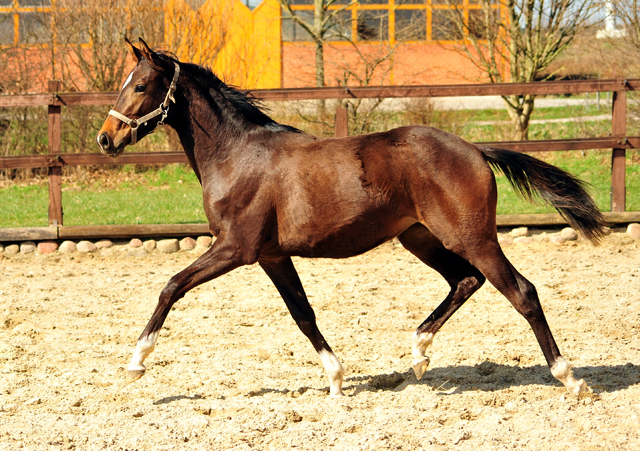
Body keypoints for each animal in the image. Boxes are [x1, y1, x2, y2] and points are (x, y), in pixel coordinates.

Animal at [99, 38, 604, 398]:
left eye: (140, 86)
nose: (106, 139)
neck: (238, 154)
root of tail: (475, 150)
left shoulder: (234, 248)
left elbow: (171, 286)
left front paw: (135, 363)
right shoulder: (271, 256)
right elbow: (303, 314)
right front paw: (337, 379)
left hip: (473, 238)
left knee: (522, 292)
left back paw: (570, 379)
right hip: (420, 238)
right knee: (465, 280)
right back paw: (419, 353)